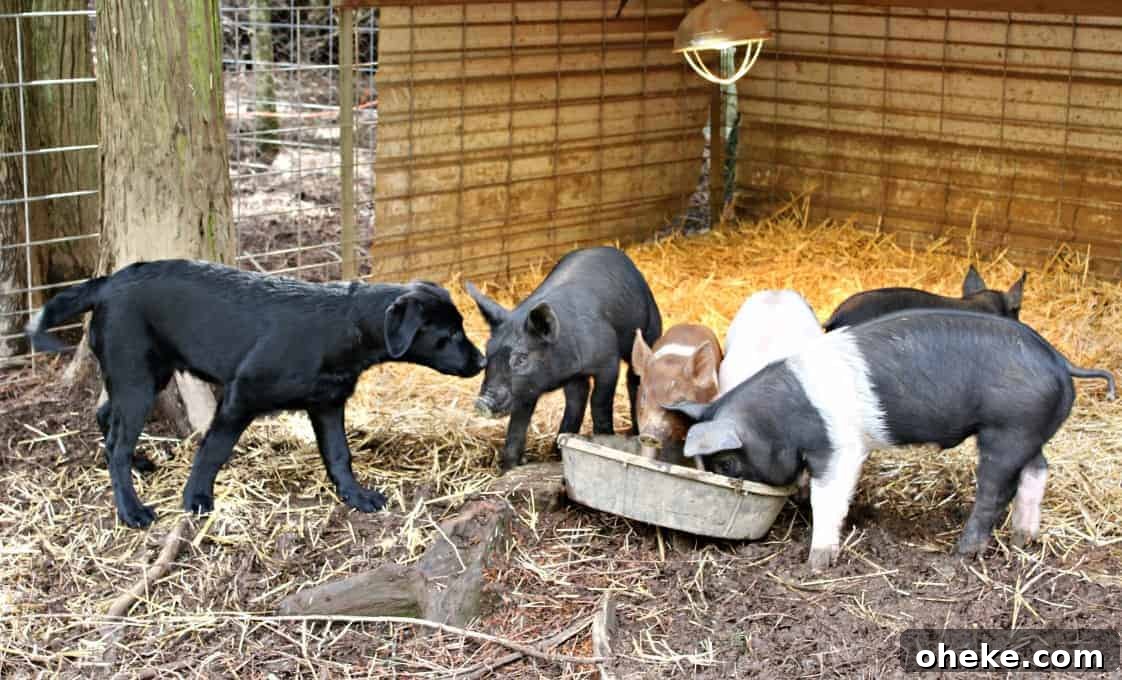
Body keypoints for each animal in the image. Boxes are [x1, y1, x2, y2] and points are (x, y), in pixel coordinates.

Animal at [466, 247, 662, 471]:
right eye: (487, 355)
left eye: (522, 358)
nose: (482, 401)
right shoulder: (528, 386)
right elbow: (518, 423)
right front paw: (511, 466)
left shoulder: (608, 362)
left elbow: (600, 401)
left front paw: (603, 440)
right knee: (578, 398)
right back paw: (557, 448)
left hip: (650, 329)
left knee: (634, 378)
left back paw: (635, 430)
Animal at [631, 324, 722, 463]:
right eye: (644, 397)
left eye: (680, 401)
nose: (649, 434)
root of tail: (691, 325)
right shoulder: (642, 422)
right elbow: (648, 454)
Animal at [664, 309, 1106, 571]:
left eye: (726, 462)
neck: (782, 416)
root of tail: (1058, 360)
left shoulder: (841, 448)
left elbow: (829, 499)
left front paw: (816, 563)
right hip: (1027, 433)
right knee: (1038, 470)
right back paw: (1023, 537)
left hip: (1008, 430)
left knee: (996, 490)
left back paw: (962, 553)